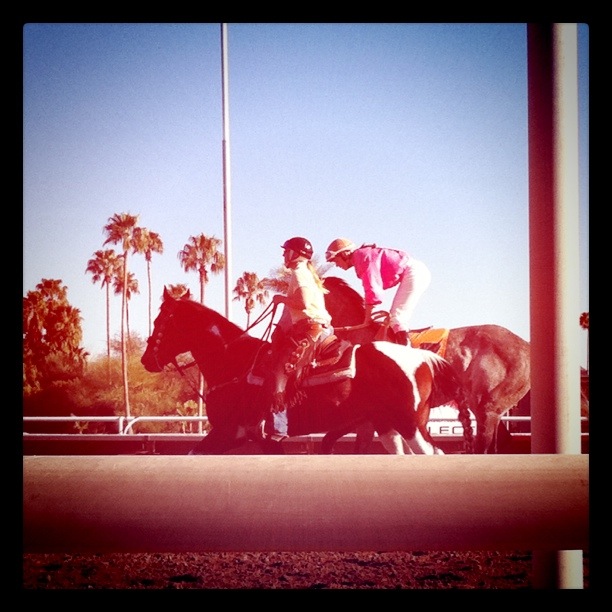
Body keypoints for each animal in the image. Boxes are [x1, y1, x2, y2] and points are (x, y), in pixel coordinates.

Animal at [141, 286, 475, 456]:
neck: (233, 361)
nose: (146, 360)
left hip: (410, 424)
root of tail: (421, 357)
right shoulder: (257, 439)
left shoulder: (228, 433)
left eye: (160, 321)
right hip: (387, 425)